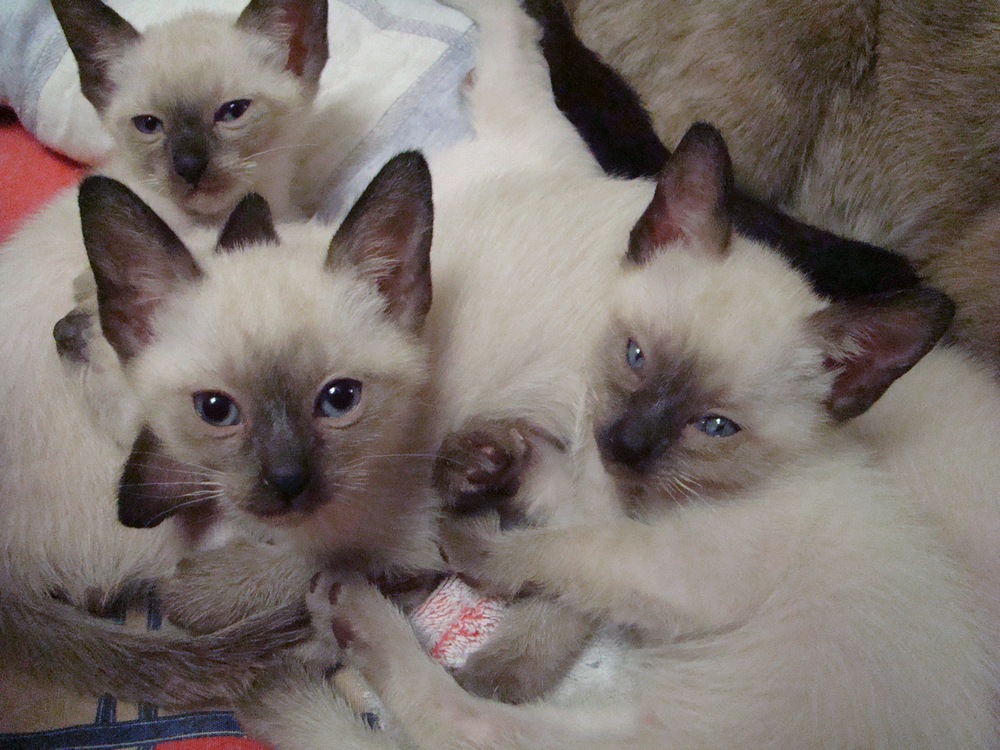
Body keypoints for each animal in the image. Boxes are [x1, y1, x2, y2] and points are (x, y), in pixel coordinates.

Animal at [276, 121, 1000, 750]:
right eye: (634, 356)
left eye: (715, 426)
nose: (628, 443)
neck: (661, 499)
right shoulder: (621, 500)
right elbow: (563, 497)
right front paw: (489, 462)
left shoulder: (680, 568)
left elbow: (565, 551)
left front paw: (472, 538)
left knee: (468, 722)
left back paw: (352, 607)